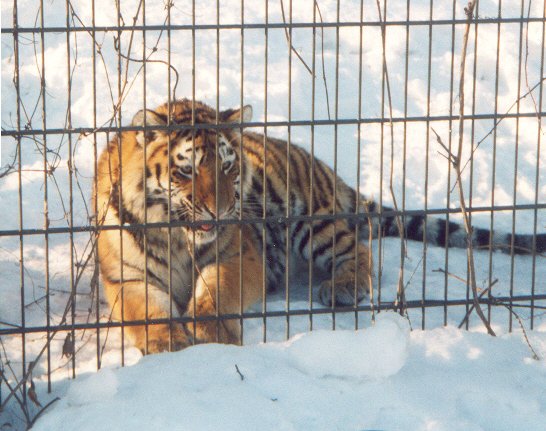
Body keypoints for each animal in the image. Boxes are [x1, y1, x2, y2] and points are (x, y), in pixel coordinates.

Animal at [95, 98, 545, 353]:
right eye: (186, 171)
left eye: (227, 167)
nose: (220, 212)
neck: (175, 235)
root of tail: (325, 170)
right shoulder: (127, 277)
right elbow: (146, 312)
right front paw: (166, 343)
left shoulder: (238, 255)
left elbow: (215, 294)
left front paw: (211, 335)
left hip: (307, 218)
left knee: (358, 250)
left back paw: (342, 288)